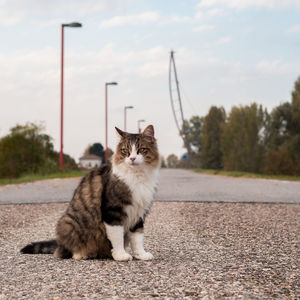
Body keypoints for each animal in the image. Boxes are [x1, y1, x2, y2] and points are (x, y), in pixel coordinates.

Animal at [20, 124, 161, 260]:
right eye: (125, 151)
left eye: (141, 150)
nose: (132, 158)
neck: (137, 176)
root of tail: (59, 244)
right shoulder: (113, 211)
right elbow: (117, 237)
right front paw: (120, 255)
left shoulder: (139, 213)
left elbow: (137, 238)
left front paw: (140, 255)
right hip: (68, 223)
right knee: (67, 252)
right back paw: (83, 254)